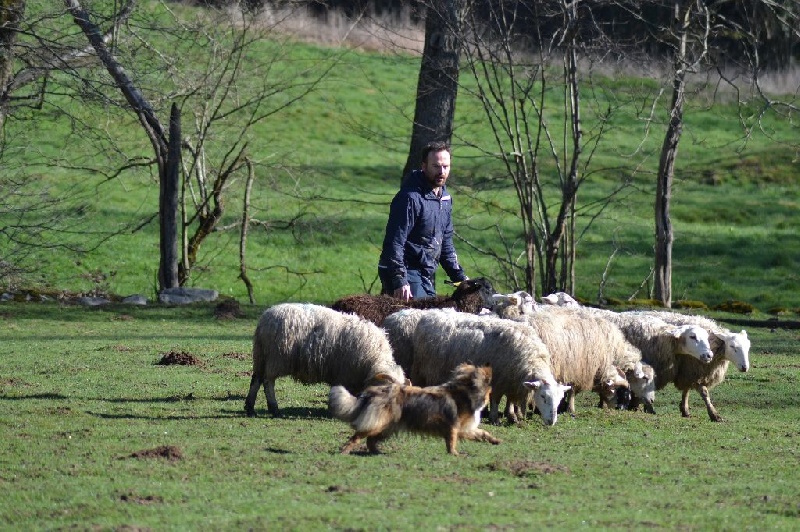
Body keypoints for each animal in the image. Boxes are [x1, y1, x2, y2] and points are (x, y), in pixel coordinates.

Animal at [244, 302, 406, 418]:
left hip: (260, 356)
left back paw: (250, 409)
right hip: (276, 358)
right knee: (268, 382)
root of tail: (265, 319)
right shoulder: (347, 374)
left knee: (256, 379)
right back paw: (274, 409)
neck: (374, 358)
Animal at [326, 364, 500, 456]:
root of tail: (374, 391)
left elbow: (482, 433)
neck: (465, 393)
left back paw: (377, 452)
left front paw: (495, 440)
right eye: (490, 390)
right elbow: (451, 442)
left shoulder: (463, 429)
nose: (488, 399)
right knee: (357, 436)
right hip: (377, 424)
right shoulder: (452, 427)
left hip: (386, 427)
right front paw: (454, 454)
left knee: (370, 440)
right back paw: (345, 450)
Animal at [410, 312, 572, 424]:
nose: (551, 422)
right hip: (427, 370)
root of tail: (429, 315)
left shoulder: (511, 379)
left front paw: (512, 415)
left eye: (560, 399)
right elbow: (496, 399)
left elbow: (510, 399)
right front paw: (495, 418)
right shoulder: (498, 378)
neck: (529, 356)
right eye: (543, 396)